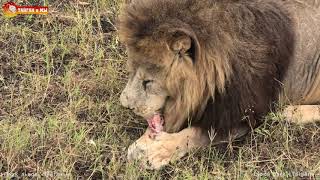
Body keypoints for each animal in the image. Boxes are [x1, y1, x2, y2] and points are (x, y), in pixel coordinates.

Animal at [117, 0, 320, 169]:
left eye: (148, 81)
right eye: (131, 71)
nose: (125, 106)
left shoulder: (244, 115)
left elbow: (195, 134)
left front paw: (157, 151)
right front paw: (144, 142)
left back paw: (292, 113)